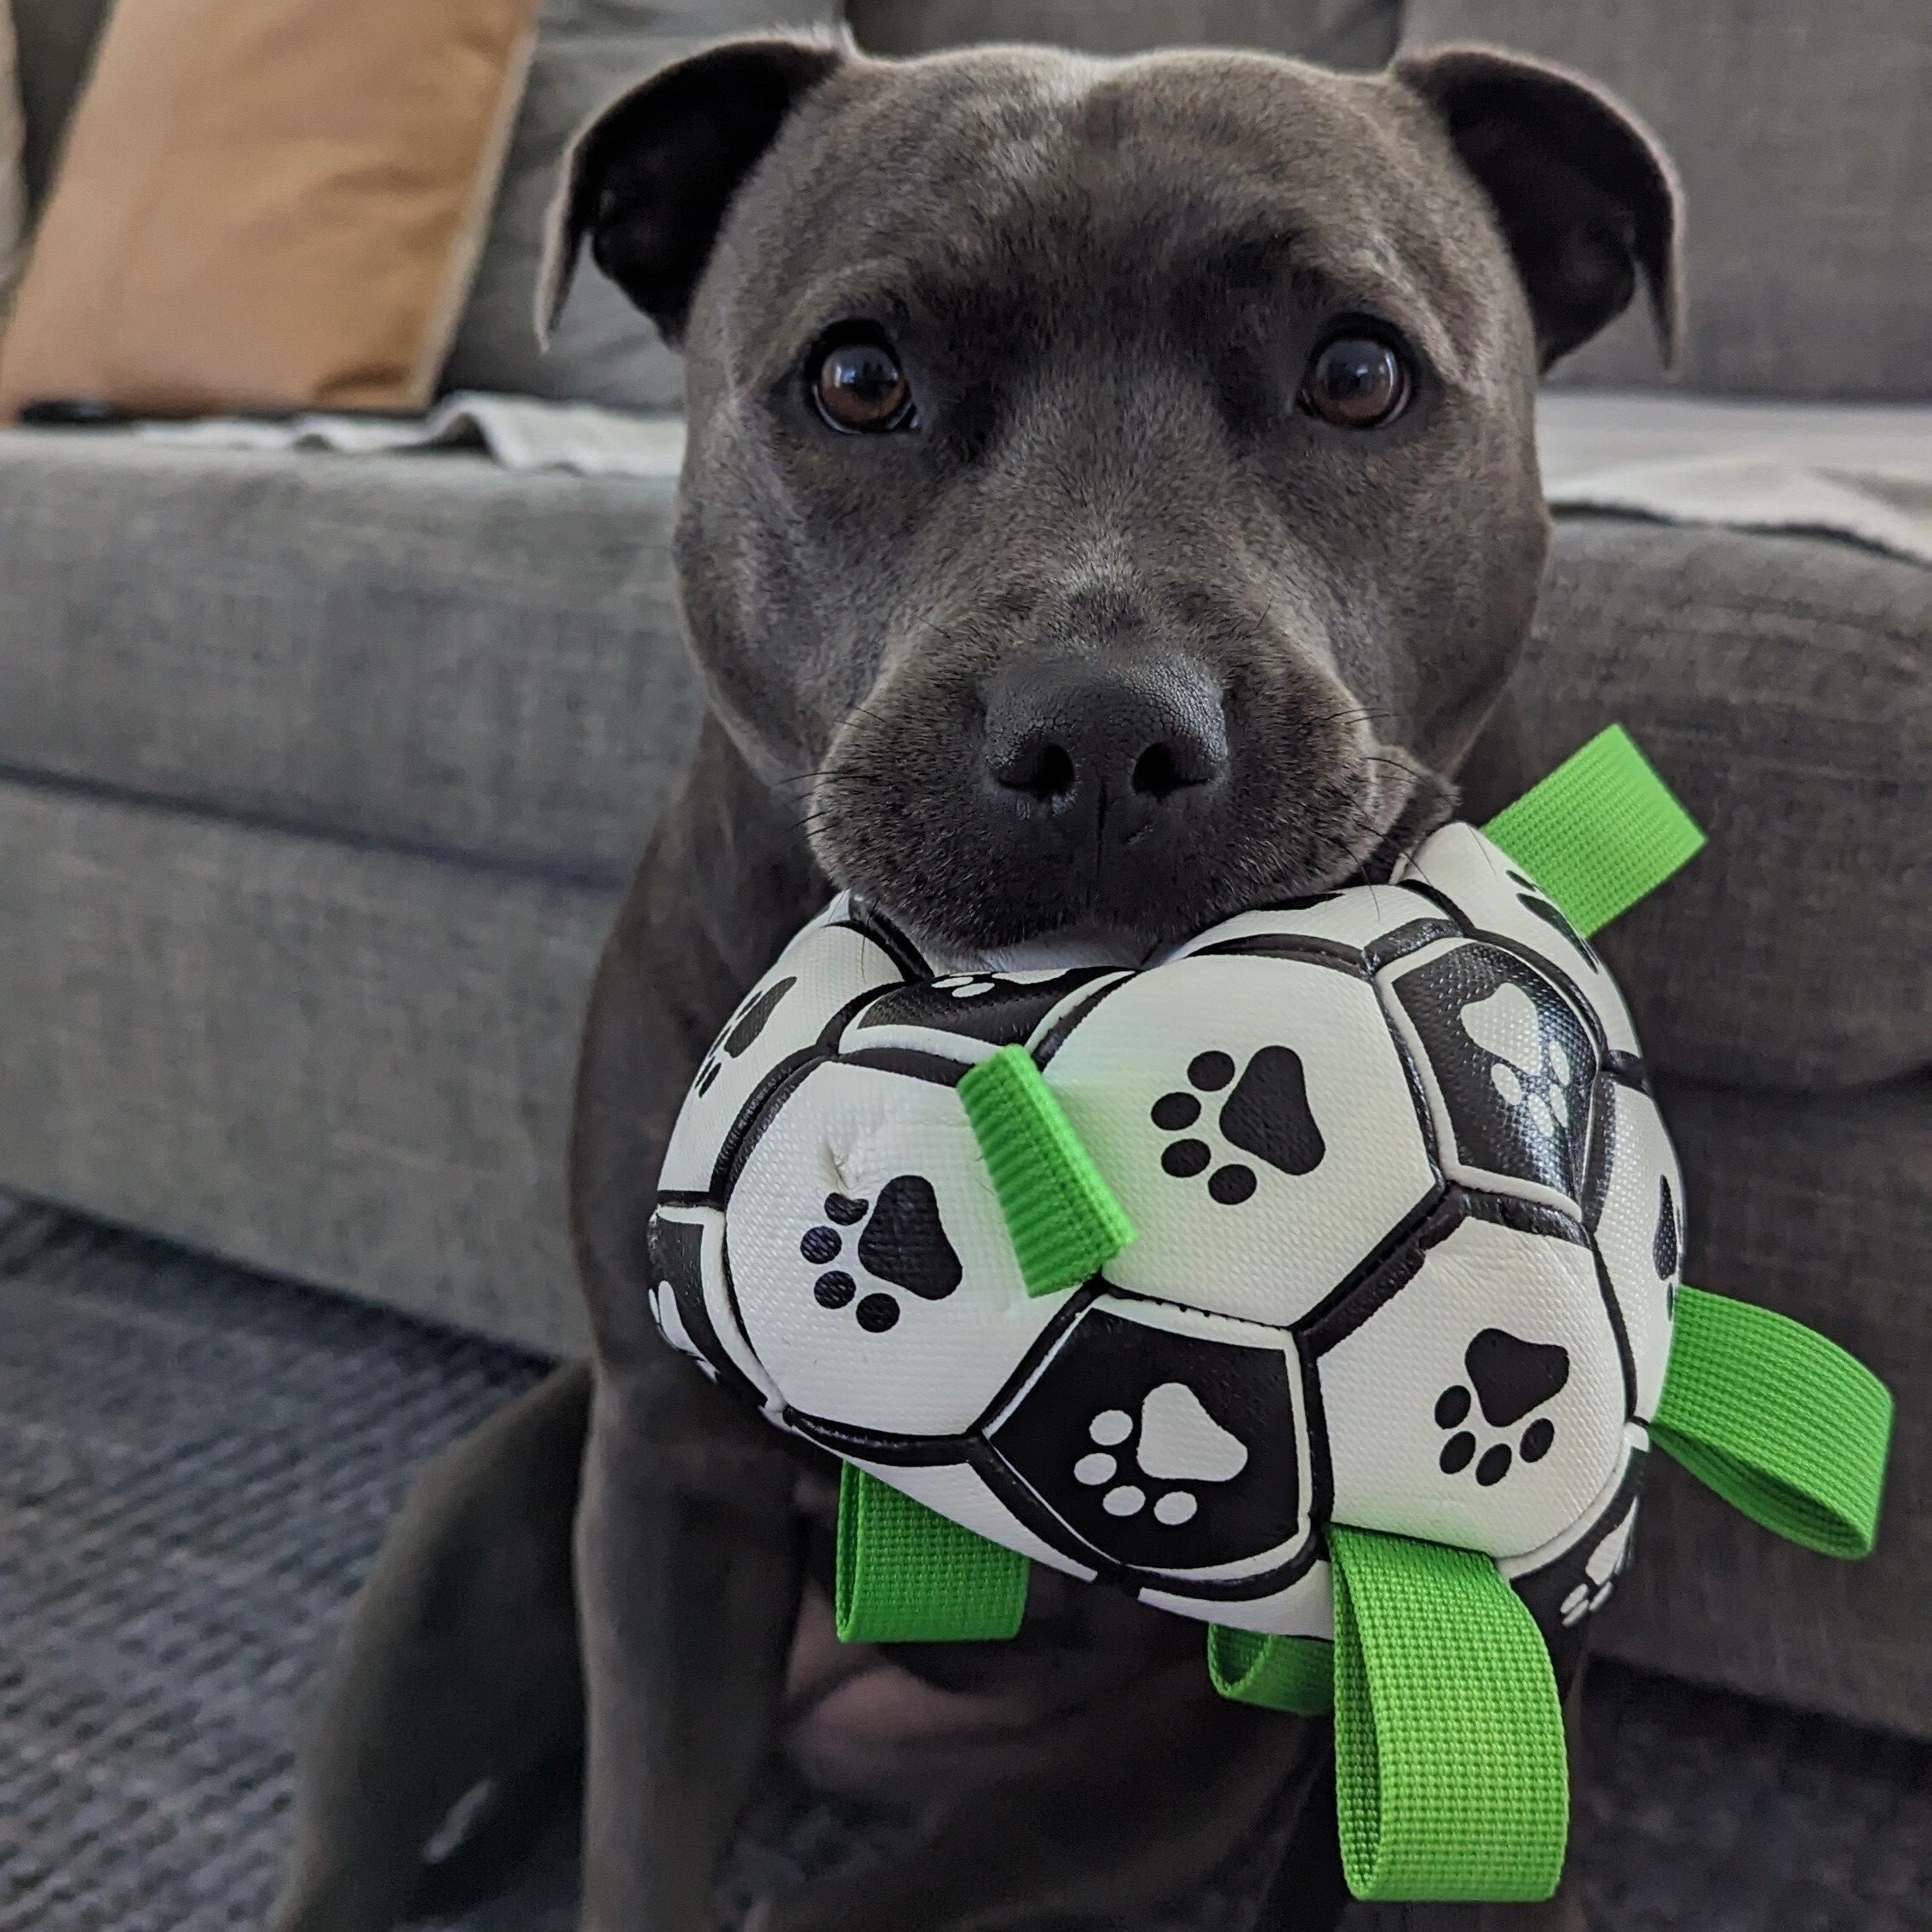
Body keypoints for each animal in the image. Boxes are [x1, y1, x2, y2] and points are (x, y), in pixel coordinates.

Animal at [268, 30, 1676, 1932]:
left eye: (1359, 371)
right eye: (860, 379)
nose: (1101, 732)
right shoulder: (668, 1488)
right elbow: (642, 1852)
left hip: (1125, 1797)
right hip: (484, 1527)